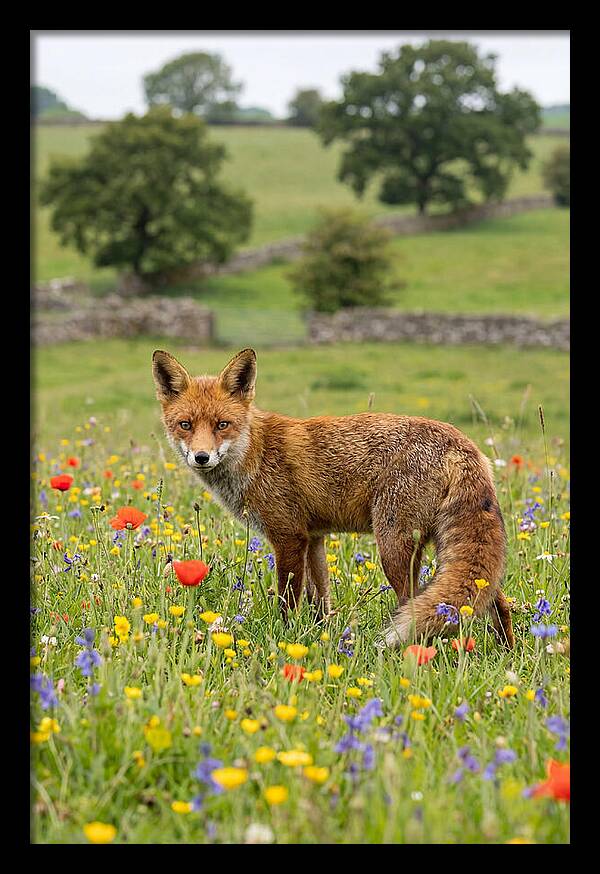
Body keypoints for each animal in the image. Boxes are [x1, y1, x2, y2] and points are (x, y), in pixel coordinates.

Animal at [152, 347, 514, 649]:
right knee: (497, 601)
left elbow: (288, 600)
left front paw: (285, 638)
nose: (201, 457)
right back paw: (507, 652)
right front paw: (321, 637)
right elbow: (320, 601)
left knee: (412, 604)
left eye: (222, 424)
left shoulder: (288, 537)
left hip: (394, 547)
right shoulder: (314, 538)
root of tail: (461, 442)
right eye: (185, 425)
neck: (255, 453)